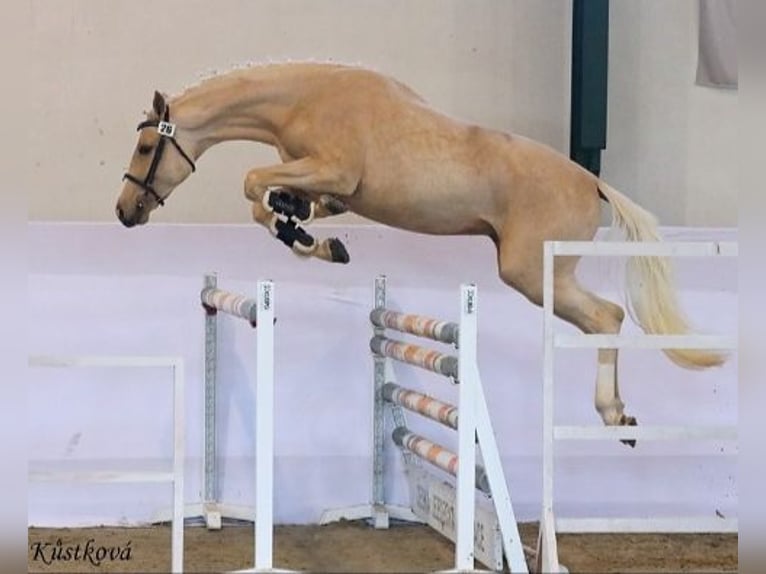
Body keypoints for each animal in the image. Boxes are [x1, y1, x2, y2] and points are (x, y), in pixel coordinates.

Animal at [115, 62, 726, 440]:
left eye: (146, 146)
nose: (124, 212)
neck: (305, 98)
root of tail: (591, 180)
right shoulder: (327, 185)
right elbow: (284, 201)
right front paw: (314, 236)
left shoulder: (332, 170)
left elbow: (253, 185)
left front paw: (304, 237)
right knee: (610, 316)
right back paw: (619, 416)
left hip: (531, 273)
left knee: (607, 315)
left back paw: (612, 413)